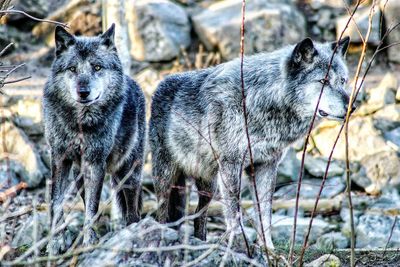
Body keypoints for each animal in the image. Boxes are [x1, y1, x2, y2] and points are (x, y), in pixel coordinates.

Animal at [43, 24, 146, 254]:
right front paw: (55, 243)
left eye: (97, 67)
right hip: (79, 176)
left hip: (128, 173)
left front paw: (89, 242)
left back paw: (134, 231)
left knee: (132, 210)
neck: (80, 124)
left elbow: (92, 206)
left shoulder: (95, 162)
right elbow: (56, 202)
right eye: (72, 69)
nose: (83, 92)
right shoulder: (59, 158)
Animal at [149, 37, 354, 249]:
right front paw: (238, 245)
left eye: (342, 81)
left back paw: (201, 242)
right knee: (162, 214)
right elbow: (234, 214)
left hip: (209, 185)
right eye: (323, 81)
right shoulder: (231, 166)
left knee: (199, 217)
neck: (263, 100)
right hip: (167, 178)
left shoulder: (266, 166)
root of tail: (160, 85)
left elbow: (265, 214)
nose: (351, 107)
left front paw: (268, 249)